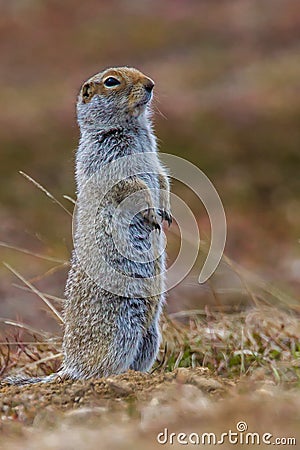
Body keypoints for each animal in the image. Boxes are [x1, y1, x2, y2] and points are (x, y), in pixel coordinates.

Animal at [1, 67, 171, 386]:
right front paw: (154, 215)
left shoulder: (154, 158)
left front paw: (165, 212)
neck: (132, 127)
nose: (151, 84)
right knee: (98, 371)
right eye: (111, 81)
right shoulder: (109, 162)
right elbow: (135, 186)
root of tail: (69, 366)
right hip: (120, 334)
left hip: (150, 337)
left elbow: (162, 177)